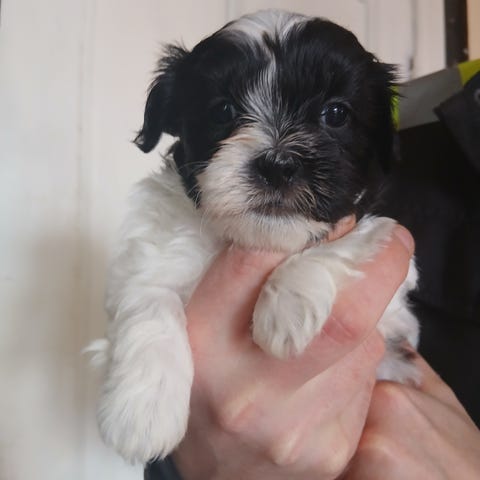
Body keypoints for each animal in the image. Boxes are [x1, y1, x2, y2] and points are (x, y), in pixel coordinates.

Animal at [93, 10, 420, 464]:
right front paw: (142, 413)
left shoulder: (392, 266)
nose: (277, 164)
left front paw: (287, 306)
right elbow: (149, 300)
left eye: (336, 113)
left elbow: (350, 241)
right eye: (223, 110)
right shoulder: (151, 253)